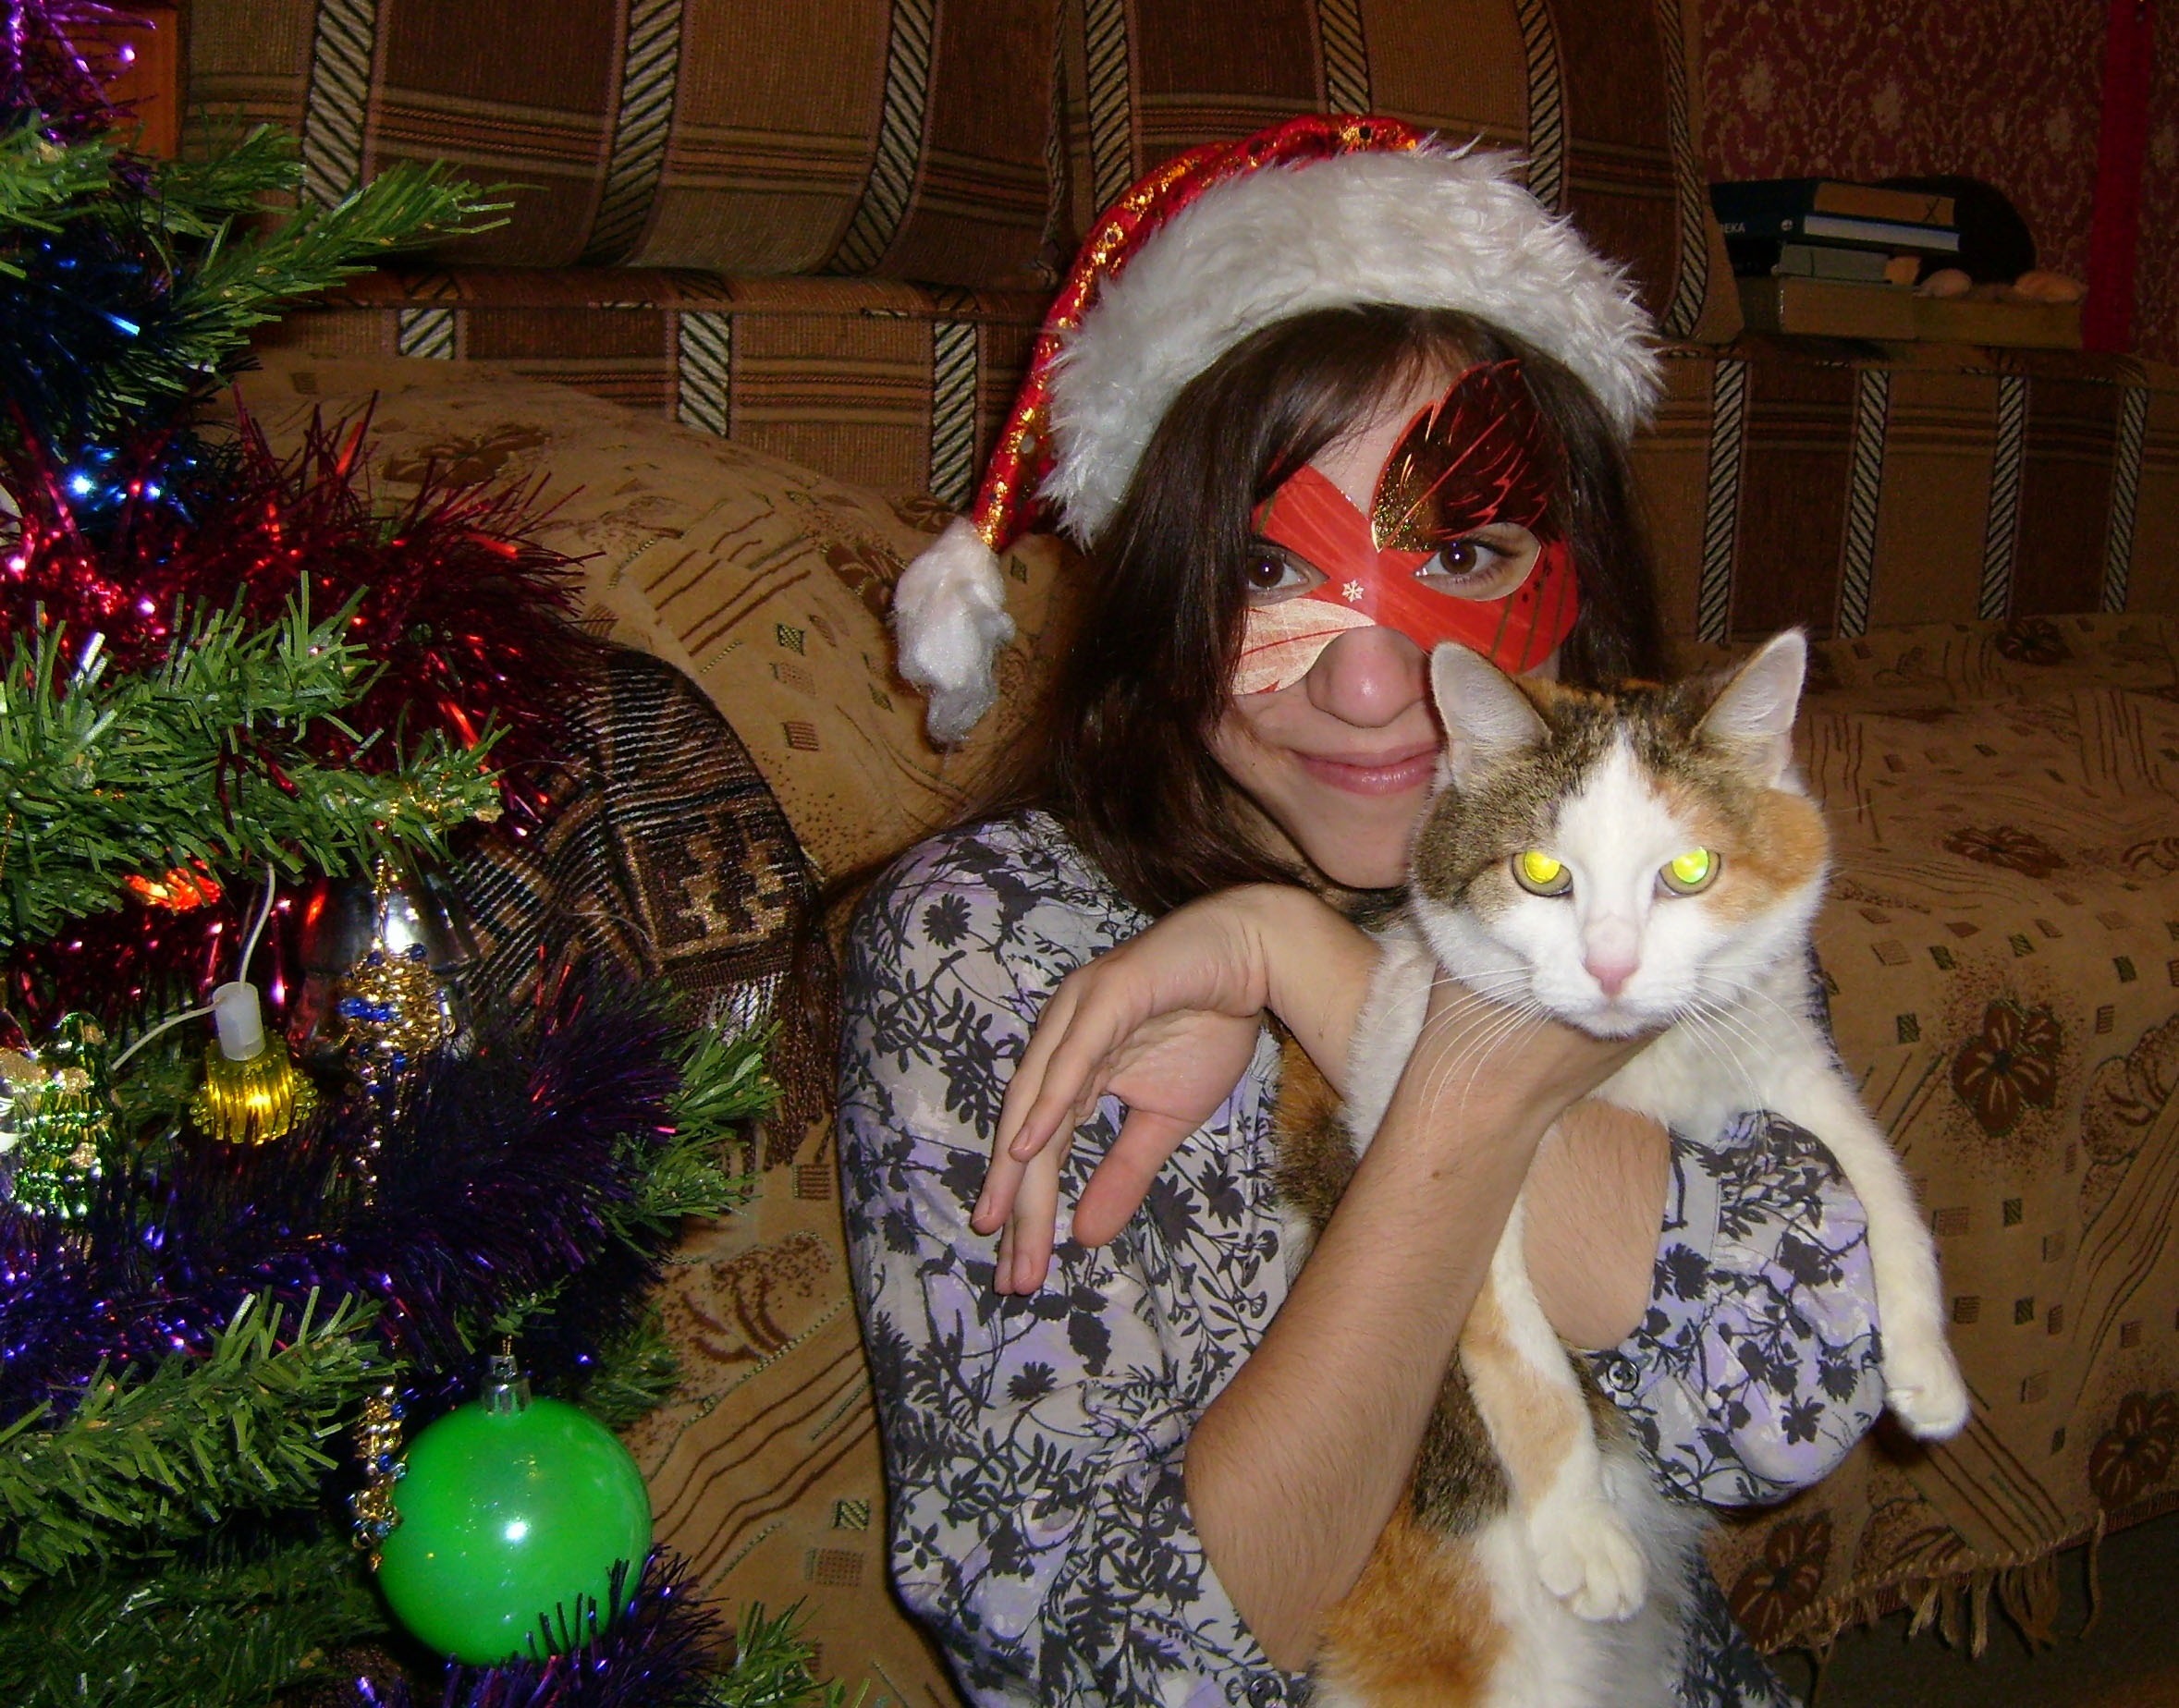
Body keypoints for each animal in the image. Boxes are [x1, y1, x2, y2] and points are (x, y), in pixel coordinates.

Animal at [1273, 630, 1969, 1707]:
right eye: (1538, 871)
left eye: (1688, 869)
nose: (1608, 969)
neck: (1634, 1071)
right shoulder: (1424, 1115)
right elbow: (1515, 1348)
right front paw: (1581, 1532)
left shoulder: (1786, 1059)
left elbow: (1881, 1181)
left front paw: (1927, 1368)